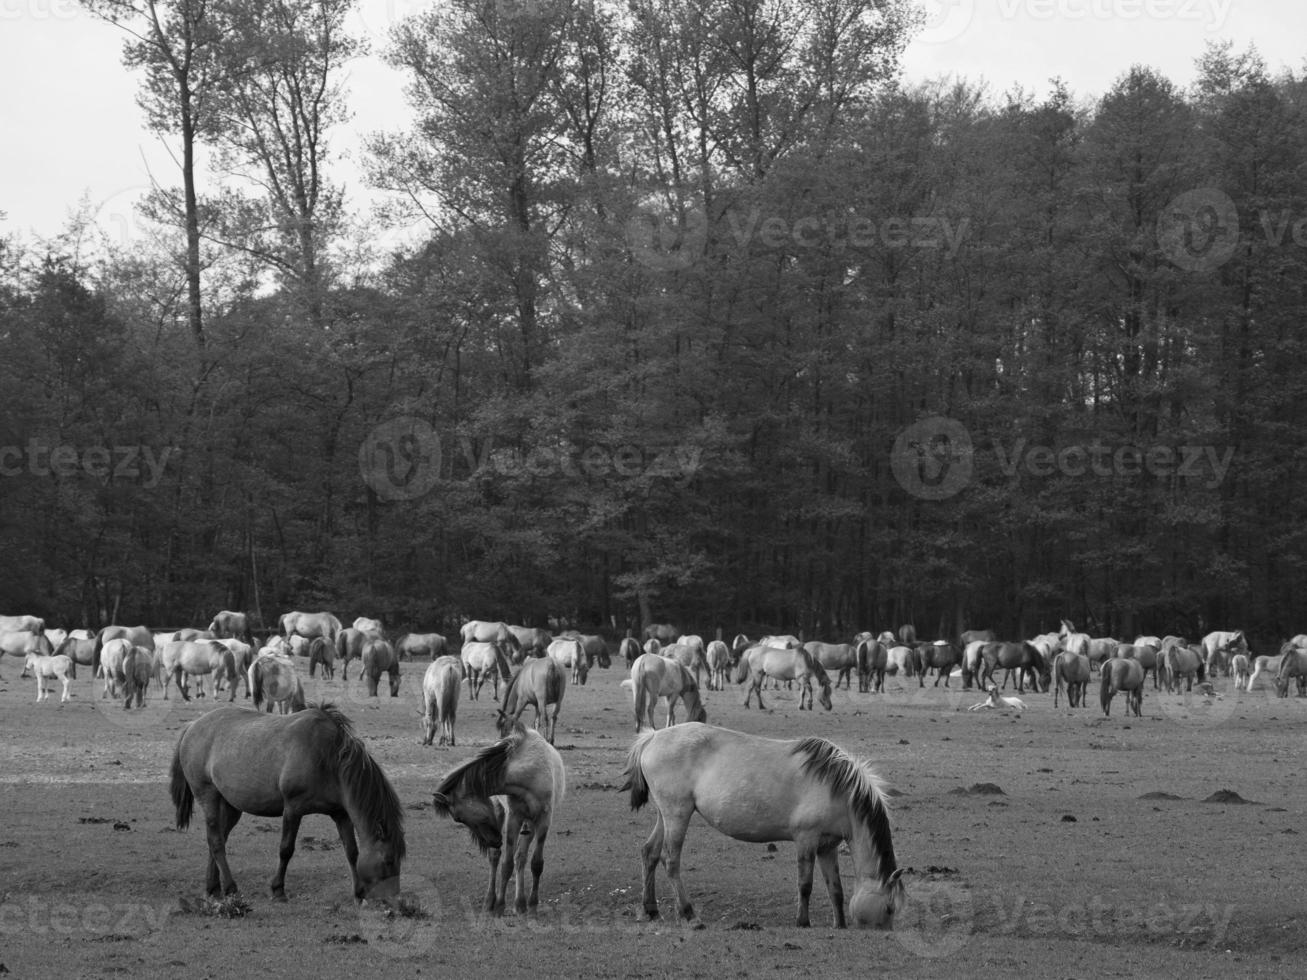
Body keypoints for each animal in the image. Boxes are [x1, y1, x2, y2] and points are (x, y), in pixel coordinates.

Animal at [433, 726, 567, 919]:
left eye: (458, 818)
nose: (494, 841)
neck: (530, 772)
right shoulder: (513, 818)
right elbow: (506, 865)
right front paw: (499, 906)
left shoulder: (543, 819)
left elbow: (536, 864)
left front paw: (533, 906)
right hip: (502, 813)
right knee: (496, 857)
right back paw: (490, 901)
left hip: (530, 824)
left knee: (521, 858)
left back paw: (520, 904)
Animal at [619, 726, 899, 930]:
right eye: (889, 908)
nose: (885, 933)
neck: (836, 788)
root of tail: (652, 737)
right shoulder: (806, 840)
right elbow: (805, 884)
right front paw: (803, 922)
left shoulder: (827, 847)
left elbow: (836, 889)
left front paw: (839, 925)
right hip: (677, 815)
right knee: (670, 860)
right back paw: (689, 915)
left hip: (665, 815)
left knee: (650, 853)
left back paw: (651, 910)